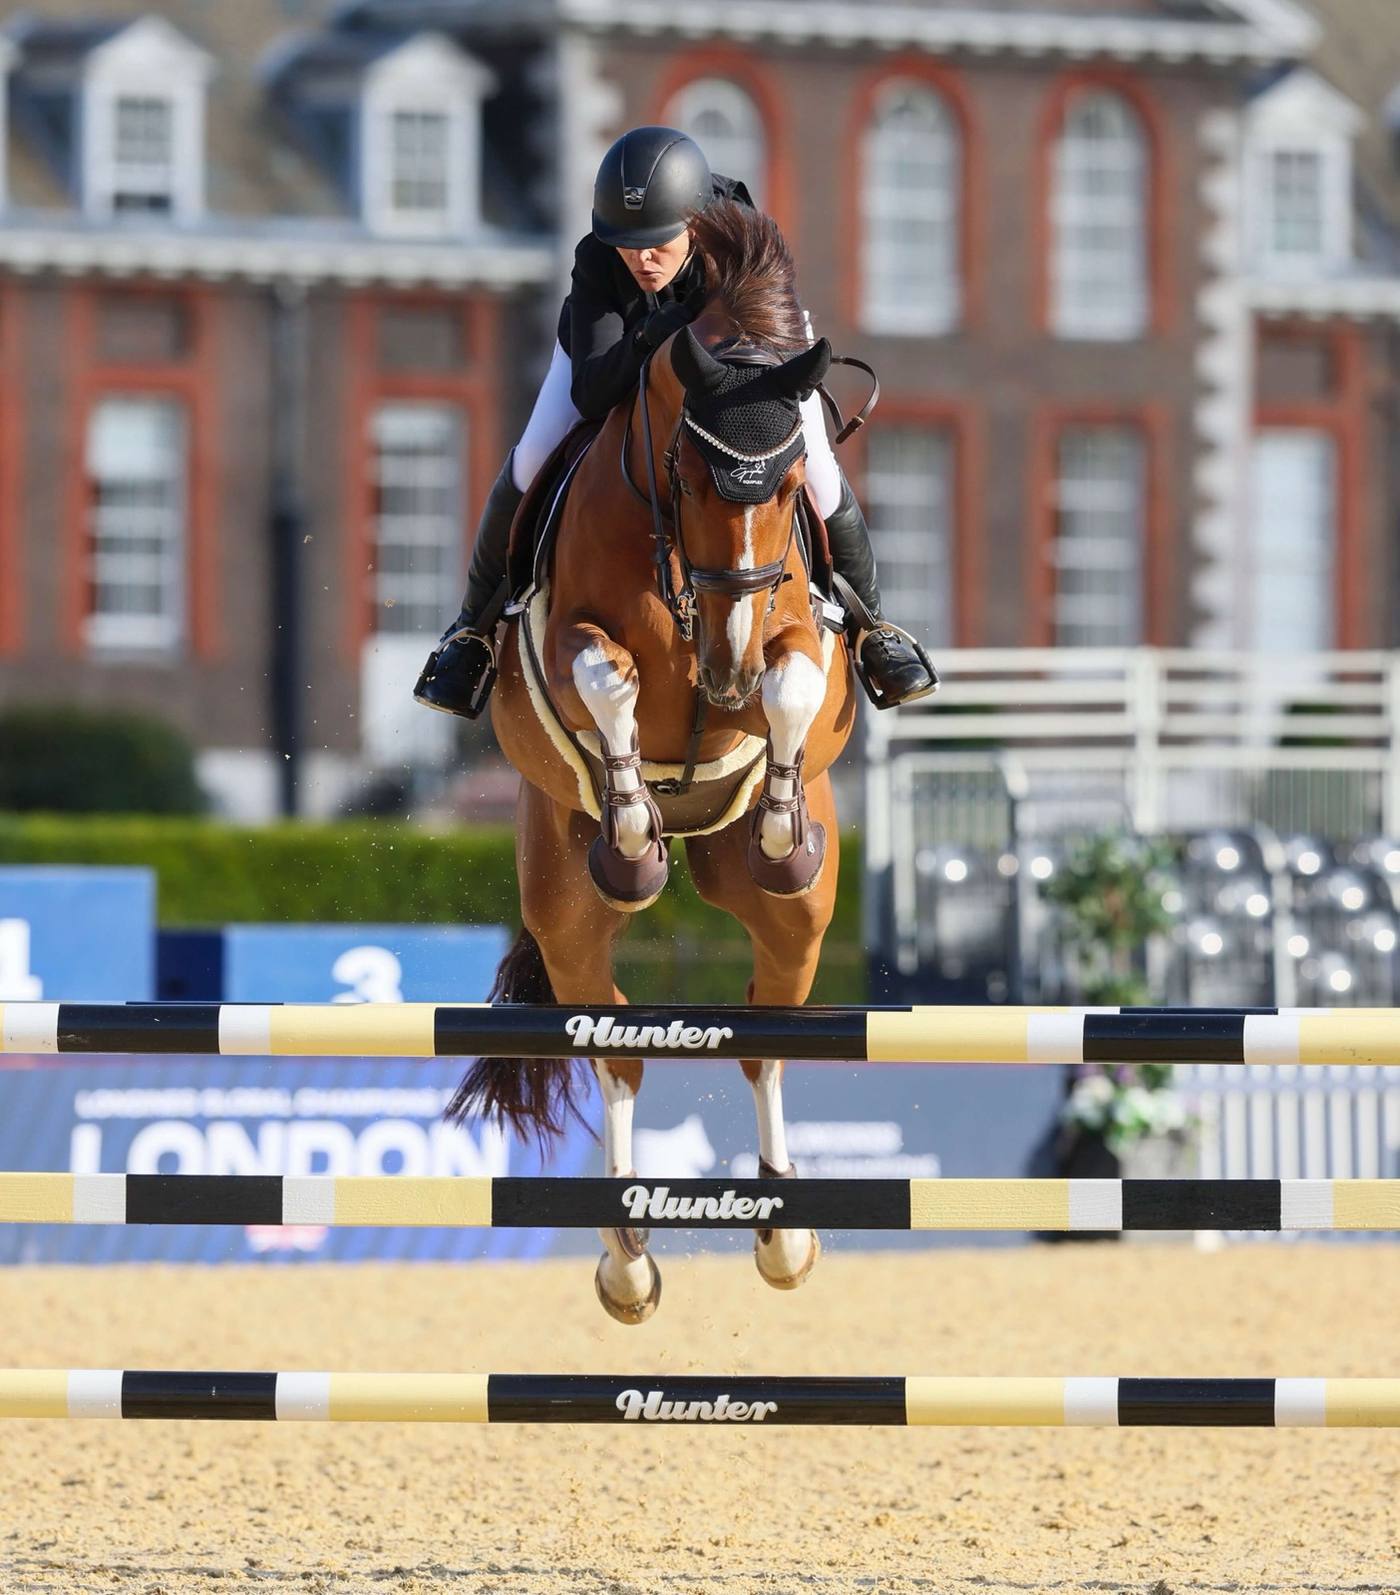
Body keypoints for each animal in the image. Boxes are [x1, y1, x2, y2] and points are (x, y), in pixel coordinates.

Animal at [449, 201, 857, 1324]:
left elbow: (792, 682)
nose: (720, 662)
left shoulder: (795, 644)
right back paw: (628, 1256)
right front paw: (631, 824)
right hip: (562, 900)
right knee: (618, 1046)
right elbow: (605, 675)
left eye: (793, 485)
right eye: (687, 472)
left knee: (765, 1031)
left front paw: (779, 826)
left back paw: (783, 1237)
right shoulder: (571, 641)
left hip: (792, 918)